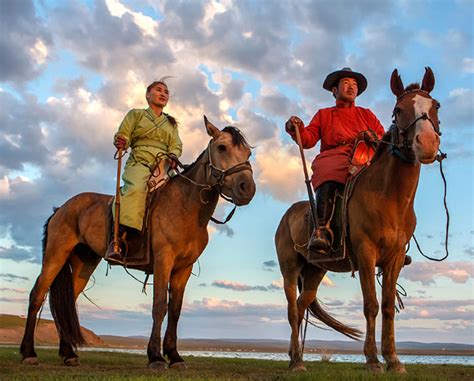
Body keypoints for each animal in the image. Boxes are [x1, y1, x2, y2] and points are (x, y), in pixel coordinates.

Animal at [19, 116, 256, 368]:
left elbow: (175, 311)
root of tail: (61, 209)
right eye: (222, 147)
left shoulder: (183, 268)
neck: (186, 207)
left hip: (84, 261)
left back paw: (69, 354)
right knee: (37, 295)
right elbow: (159, 306)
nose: (247, 188)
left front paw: (174, 356)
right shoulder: (164, 261)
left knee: (67, 302)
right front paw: (155, 356)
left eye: (248, 153)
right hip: (56, 255)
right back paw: (28, 352)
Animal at [276, 67, 442, 372]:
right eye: (398, 109)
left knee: (303, 305)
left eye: (435, 105)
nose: (426, 143)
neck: (388, 197)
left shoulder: (394, 258)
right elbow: (371, 305)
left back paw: (297, 356)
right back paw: (296, 363)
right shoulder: (366, 253)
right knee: (293, 310)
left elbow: (387, 306)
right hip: (290, 269)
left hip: (316, 271)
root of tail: (288, 215)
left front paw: (393, 360)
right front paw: (373, 360)